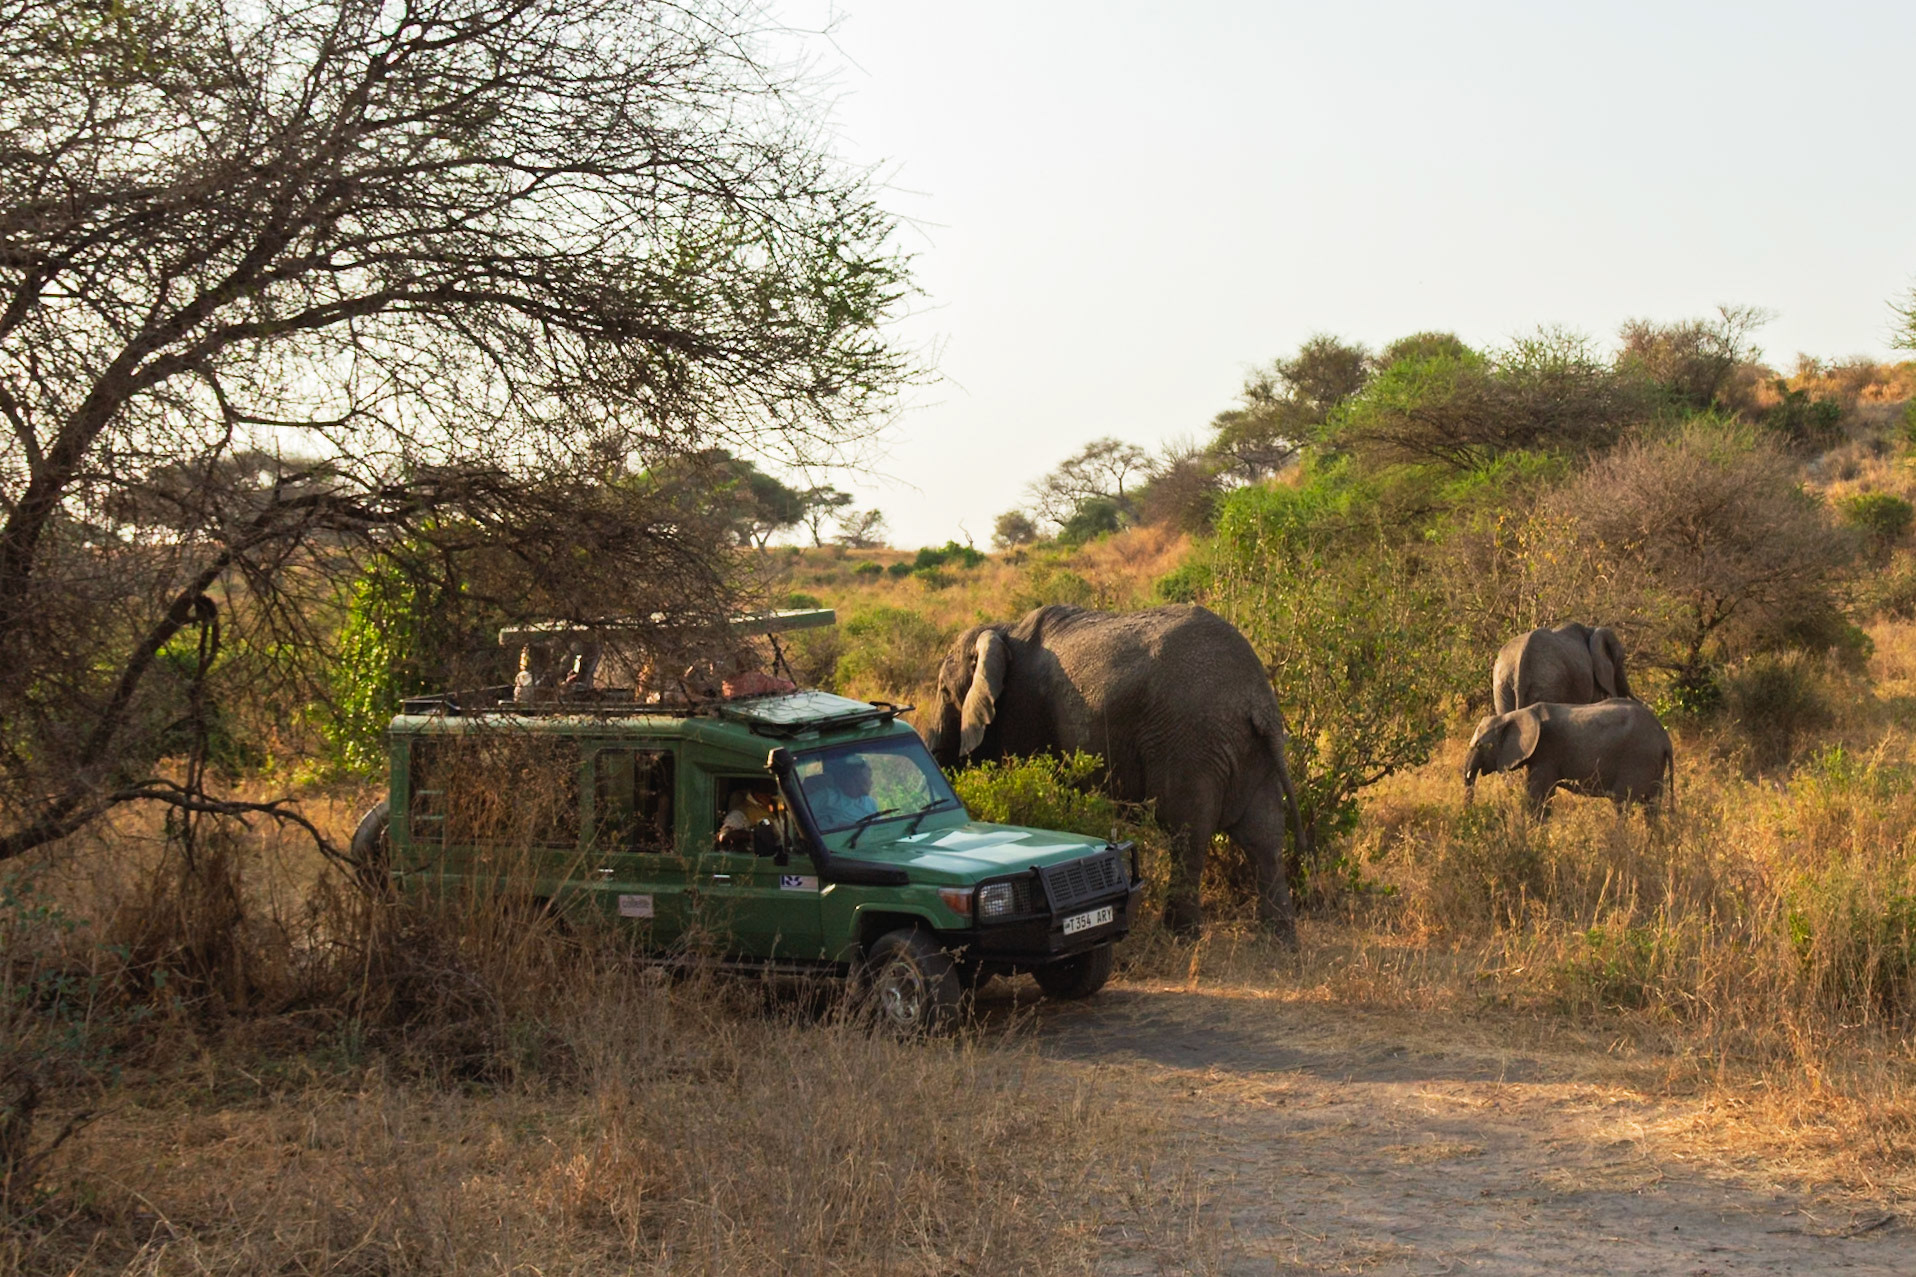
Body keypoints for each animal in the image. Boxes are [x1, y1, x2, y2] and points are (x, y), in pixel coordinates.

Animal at [925, 603, 1301, 942]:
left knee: (1187, 834)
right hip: (1250, 749)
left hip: (1191, 742)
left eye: (943, 690)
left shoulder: (1025, 708)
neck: (1003, 629)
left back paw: (1178, 936)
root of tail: (1257, 698)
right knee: (1265, 838)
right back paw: (1278, 941)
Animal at [1463, 699, 1673, 813]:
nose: (1469, 812)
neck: (1514, 715)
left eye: (1480, 746)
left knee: (1623, 803)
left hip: (1638, 758)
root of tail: (1664, 737)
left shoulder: (1547, 751)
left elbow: (1538, 795)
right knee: (1652, 807)